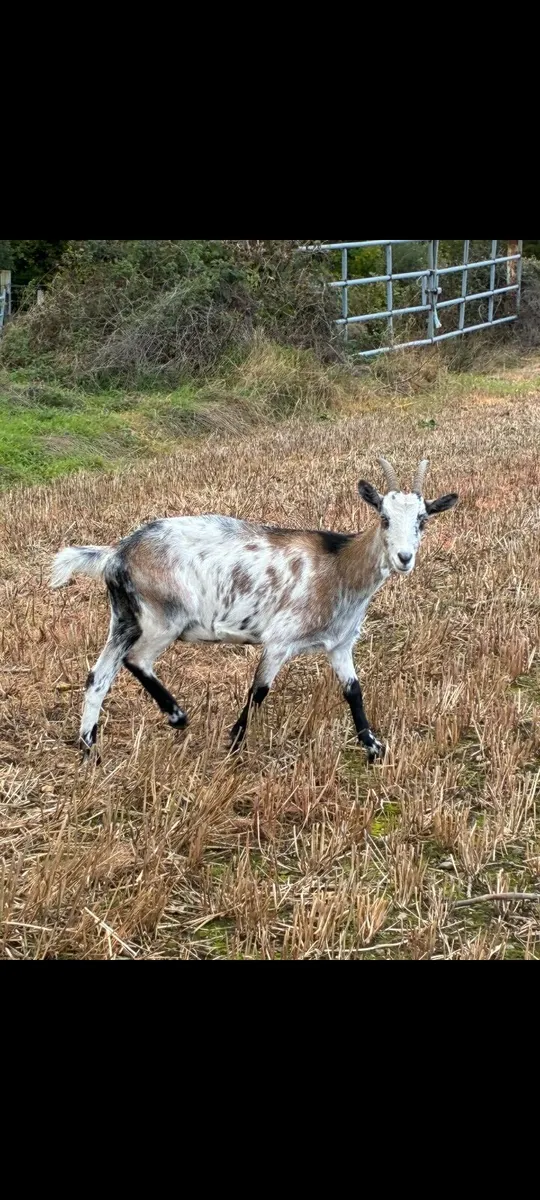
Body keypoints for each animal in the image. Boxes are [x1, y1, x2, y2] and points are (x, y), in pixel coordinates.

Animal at [50, 458, 458, 759]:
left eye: (423, 520)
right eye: (384, 518)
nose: (404, 558)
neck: (339, 566)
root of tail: (117, 553)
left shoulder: (339, 644)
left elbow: (353, 691)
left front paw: (373, 747)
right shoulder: (280, 640)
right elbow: (259, 690)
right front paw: (233, 742)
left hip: (124, 618)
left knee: (98, 676)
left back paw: (89, 749)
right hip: (163, 618)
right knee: (137, 659)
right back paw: (177, 716)